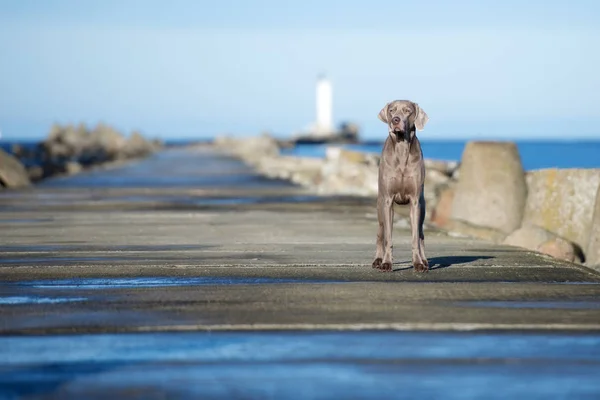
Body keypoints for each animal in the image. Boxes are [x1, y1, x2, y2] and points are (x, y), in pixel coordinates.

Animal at [372, 99, 428, 272]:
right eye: (391, 110)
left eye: (408, 110)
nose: (395, 120)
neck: (402, 149)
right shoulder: (388, 201)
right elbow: (388, 238)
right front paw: (386, 263)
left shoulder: (415, 202)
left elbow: (415, 238)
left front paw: (418, 263)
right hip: (380, 207)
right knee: (380, 233)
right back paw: (377, 259)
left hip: (423, 209)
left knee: (421, 234)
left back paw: (425, 261)